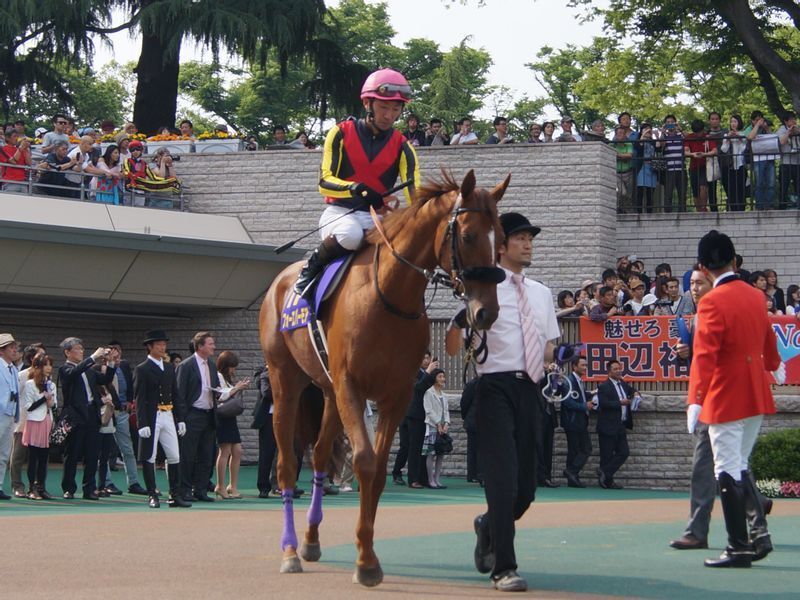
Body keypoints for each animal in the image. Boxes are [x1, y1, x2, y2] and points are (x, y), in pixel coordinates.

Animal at [260, 169, 510, 584]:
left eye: (502, 240)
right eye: (469, 235)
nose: (485, 313)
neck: (387, 297)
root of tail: (279, 281)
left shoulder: (394, 394)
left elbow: (376, 471)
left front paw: (367, 554)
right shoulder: (352, 386)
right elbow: (363, 461)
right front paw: (364, 562)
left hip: (327, 392)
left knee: (321, 454)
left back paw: (310, 541)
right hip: (286, 383)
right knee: (286, 465)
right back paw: (290, 551)